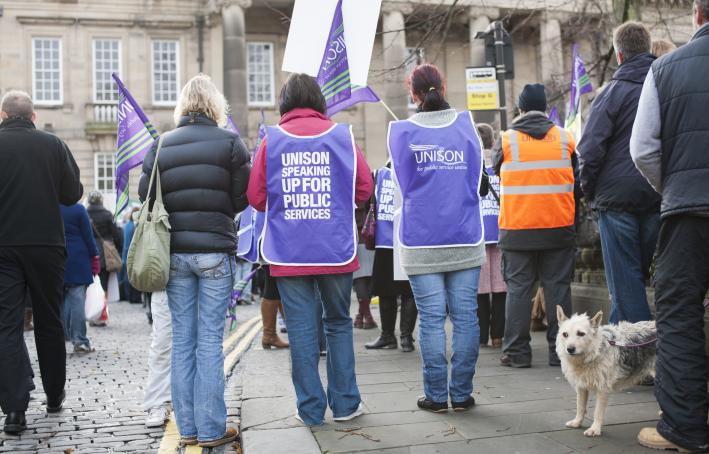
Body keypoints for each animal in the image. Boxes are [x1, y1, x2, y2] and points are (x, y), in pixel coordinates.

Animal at [556, 306, 656, 438]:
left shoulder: (602, 389)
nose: (570, 349)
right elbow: (580, 406)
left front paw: (595, 429)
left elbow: (597, 412)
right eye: (565, 334)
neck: (592, 355)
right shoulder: (581, 386)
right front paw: (577, 422)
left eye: (581, 334)